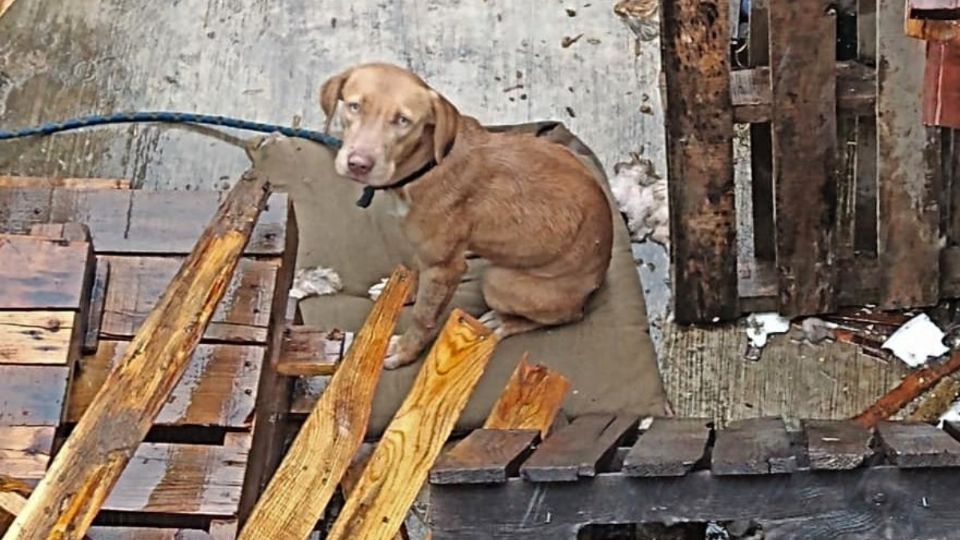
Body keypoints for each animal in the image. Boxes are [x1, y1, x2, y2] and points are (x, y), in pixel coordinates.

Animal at [318, 62, 612, 368]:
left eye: (403, 121)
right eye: (354, 106)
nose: (358, 164)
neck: (426, 164)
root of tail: (595, 283)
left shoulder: (444, 268)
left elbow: (423, 316)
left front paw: (405, 351)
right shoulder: (429, 253)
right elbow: (416, 269)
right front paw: (400, 290)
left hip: (500, 282)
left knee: (564, 316)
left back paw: (503, 321)